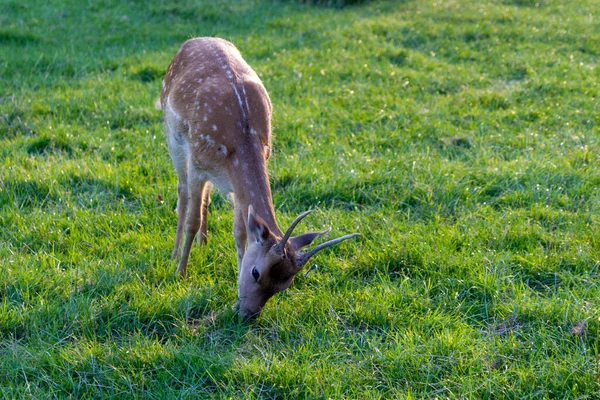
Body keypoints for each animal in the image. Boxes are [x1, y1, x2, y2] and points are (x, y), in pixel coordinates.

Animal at [159, 37, 358, 318]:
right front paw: (181, 274)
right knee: (182, 192)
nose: (248, 314)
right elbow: (192, 220)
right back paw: (176, 254)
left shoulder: (237, 183)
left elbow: (240, 230)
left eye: (285, 284)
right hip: (173, 135)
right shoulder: (197, 163)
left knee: (206, 196)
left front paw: (234, 272)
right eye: (256, 273)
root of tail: (193, 41)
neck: (238, 143)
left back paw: (204, 244)